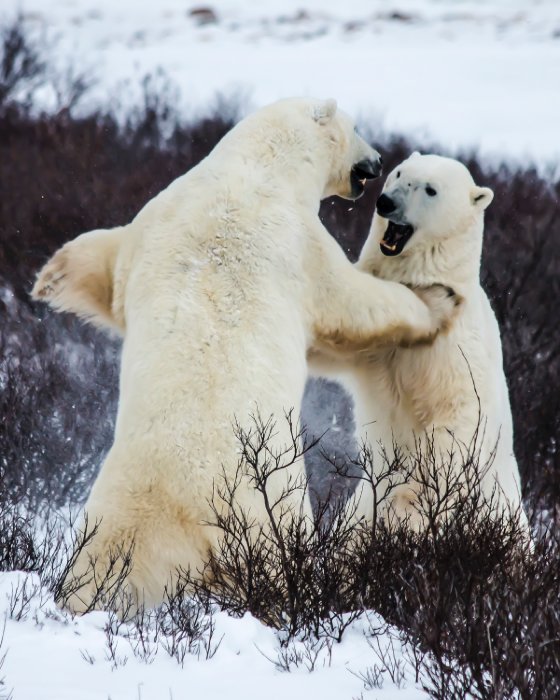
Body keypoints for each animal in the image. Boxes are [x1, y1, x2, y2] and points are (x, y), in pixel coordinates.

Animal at [31, 100, 460, 612]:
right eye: (356, 127)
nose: (375, 162)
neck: (258, 164)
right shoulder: (302, 244)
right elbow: (351, 303)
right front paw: (438, 301)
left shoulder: (159, 216)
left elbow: (107, 268)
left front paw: (51, 277)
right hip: (268, 514)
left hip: (110, 515)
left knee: (99, 561)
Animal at [318, 153, 528, 532]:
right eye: (400, 172)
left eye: (430, 189)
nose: (386, 202)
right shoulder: (376, 349)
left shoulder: (456, 350)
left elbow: (460, 413)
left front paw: (411, 496)